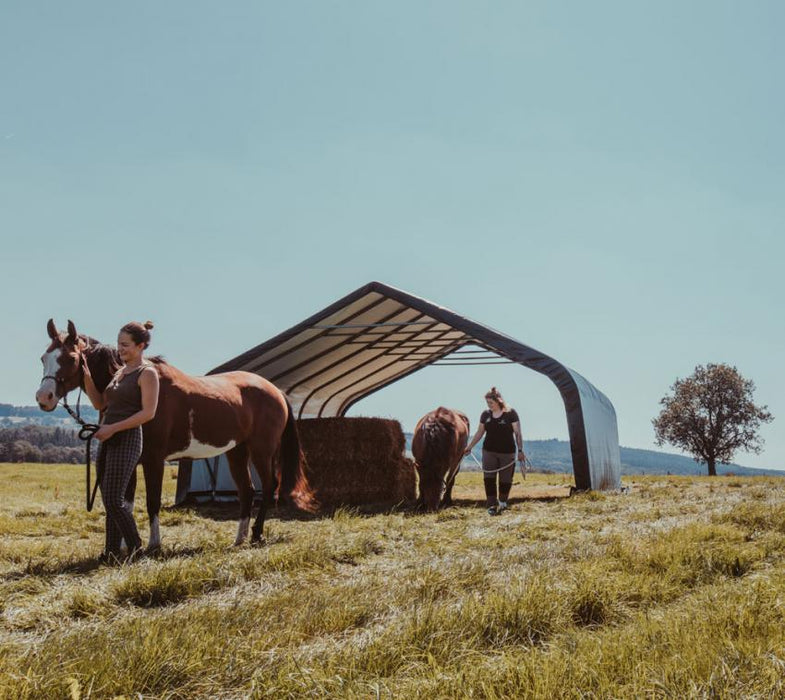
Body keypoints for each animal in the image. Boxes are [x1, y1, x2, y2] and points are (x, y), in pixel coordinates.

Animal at [33, 318, 316, 548]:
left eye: (70, 359)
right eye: (43, 358)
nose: (43, 398)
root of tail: (275, 391)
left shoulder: (154, 459)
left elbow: (152, 502)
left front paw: (153, 545)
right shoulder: (132, 461)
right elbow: (126, 502)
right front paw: (126, 547)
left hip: (261, 450)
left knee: (268, 487)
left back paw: (256, 535)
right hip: (237, 451)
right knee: (247, 492)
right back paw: (239, 539)